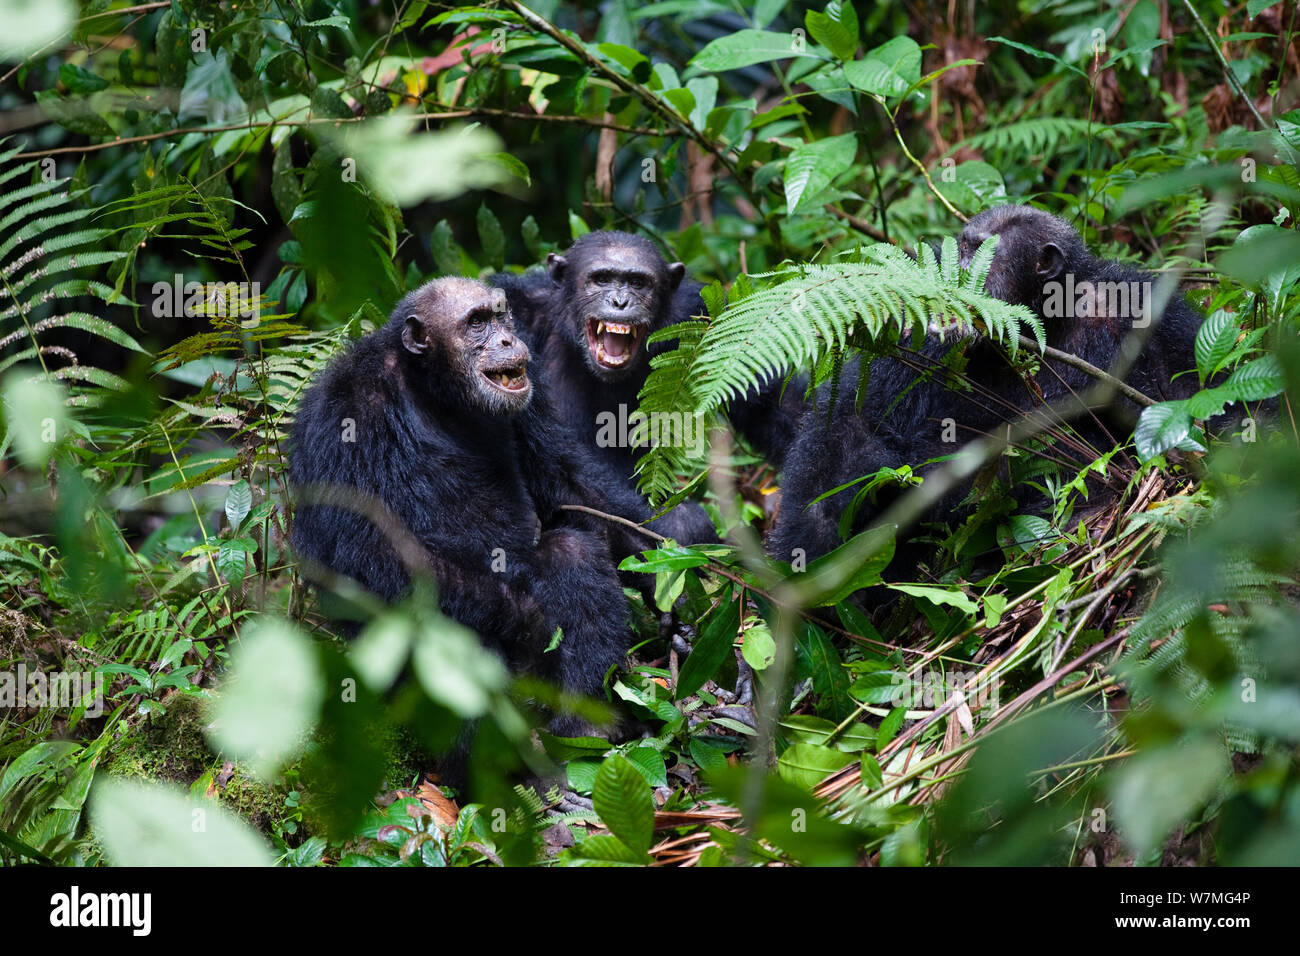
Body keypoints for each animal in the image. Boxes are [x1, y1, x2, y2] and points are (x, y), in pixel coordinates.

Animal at [288, 277, 629, 723]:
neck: (433, 390)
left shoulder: (533, 393)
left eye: (501, 315)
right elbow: (365, 550)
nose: (507, 339)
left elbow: (564, 480)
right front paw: (530, 617)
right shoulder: (346, 413)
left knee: (572, 550)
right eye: (476, 323)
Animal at [769, 204, 1227, 572]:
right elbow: (854, 424)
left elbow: (1197, 393)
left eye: (982, 253)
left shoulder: (1140, 309)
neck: (1042, 323)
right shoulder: (911, 337)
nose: (956, 272)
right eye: (961, 248)